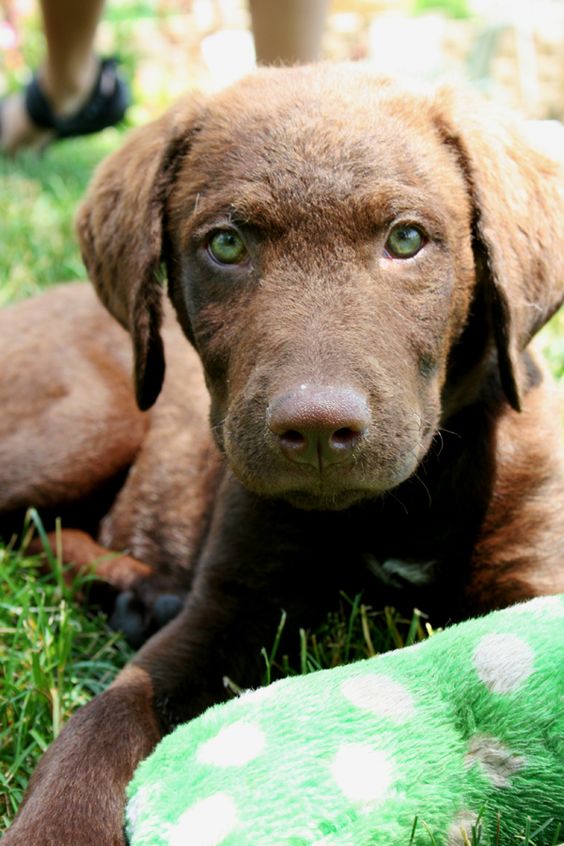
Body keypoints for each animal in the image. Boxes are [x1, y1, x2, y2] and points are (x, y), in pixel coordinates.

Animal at [2, 63, 560, 844]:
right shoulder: (230, 602)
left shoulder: (536, 579)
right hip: (88, 423)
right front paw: (56, 823)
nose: (318, 429)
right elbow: (104, 714)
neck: (389, 506)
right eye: (227, 245)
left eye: (407, 238)